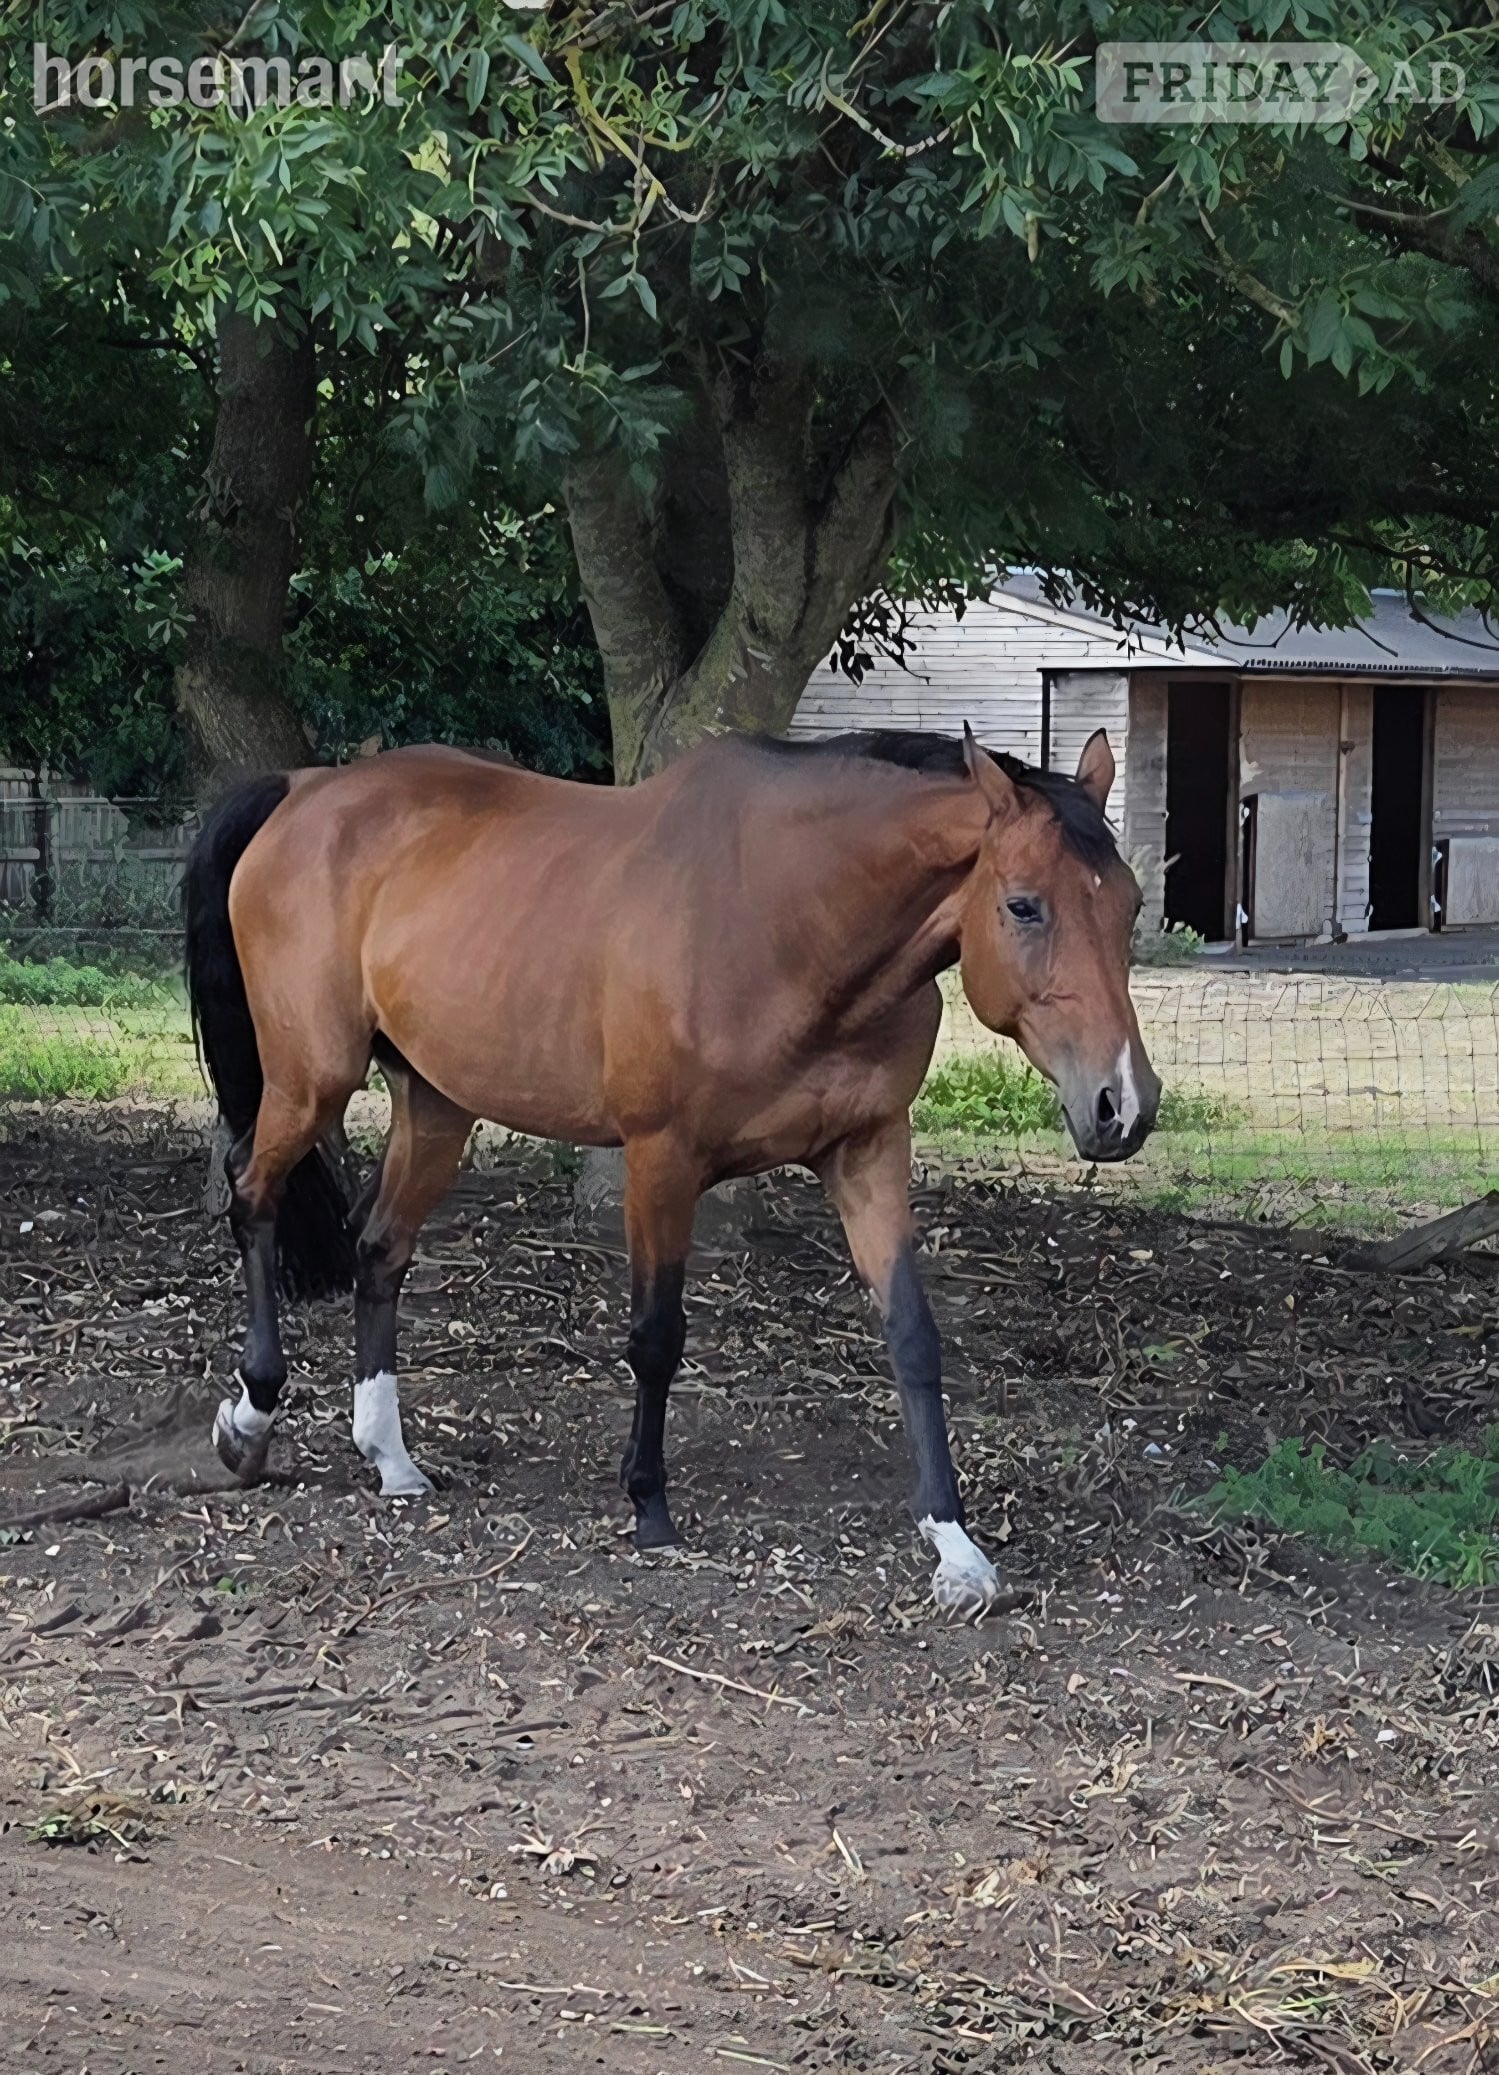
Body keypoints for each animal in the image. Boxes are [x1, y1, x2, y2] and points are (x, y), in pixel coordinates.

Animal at [183, 725, 1159, 1615]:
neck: (789, 918)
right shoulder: (662, 1158)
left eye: (1129, 905)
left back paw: (389, 1455)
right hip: (312, 1079)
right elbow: (656, 1336)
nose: (1122, 1104)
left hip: (436, 1103)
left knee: (379, 1249)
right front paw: (648, 1505)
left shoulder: (869, 1149)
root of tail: (308, 789)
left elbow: (912, 1338)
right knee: (253, 1195)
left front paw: (954, 1546)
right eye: (1025, 906)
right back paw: (251, 1416)